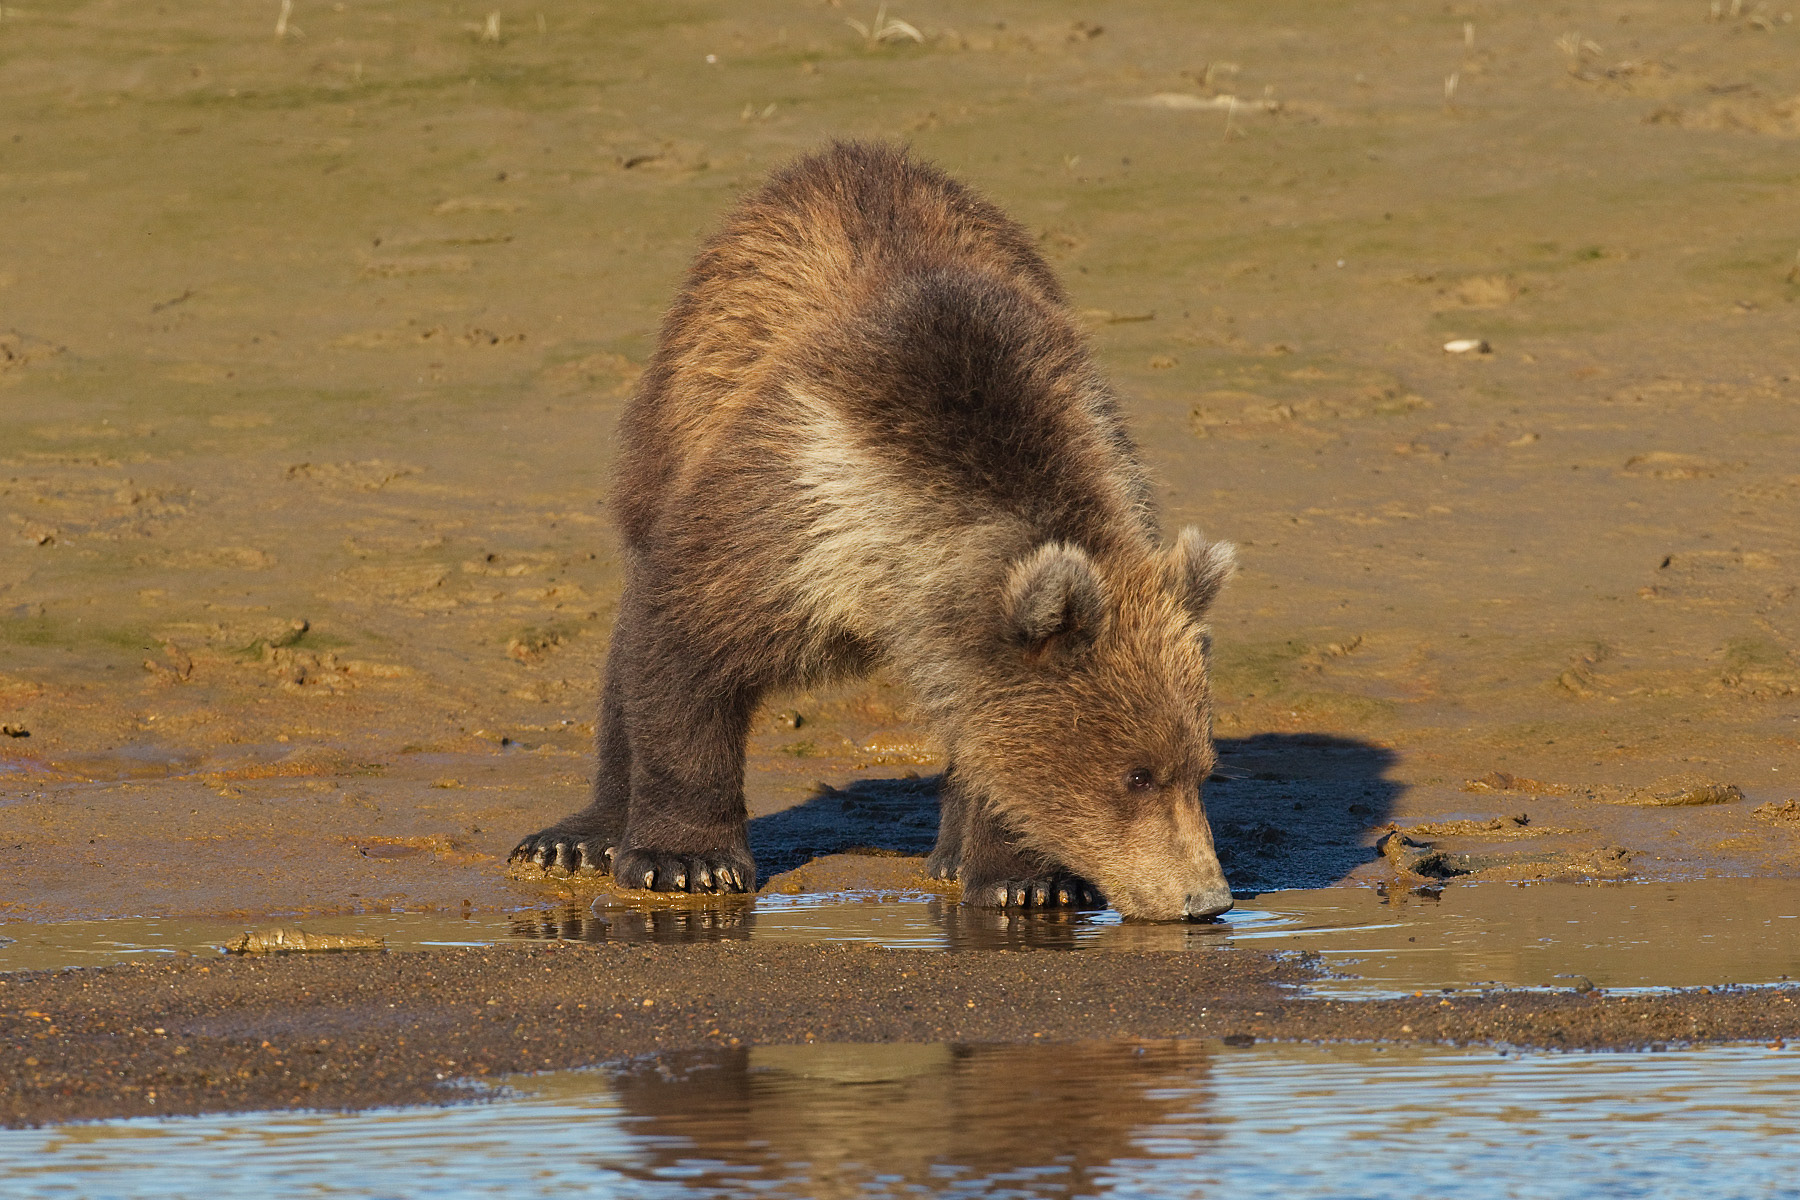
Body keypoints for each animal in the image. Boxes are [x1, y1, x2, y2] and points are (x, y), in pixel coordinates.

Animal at [511, 141, 1236, 920]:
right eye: (1137, 774)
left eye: (1200, 767)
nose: (1206, 898)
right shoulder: (788, 514)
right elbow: (684, 652)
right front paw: (686, 861)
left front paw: (1025, 878)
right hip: (669, 423)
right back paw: (575, 838)